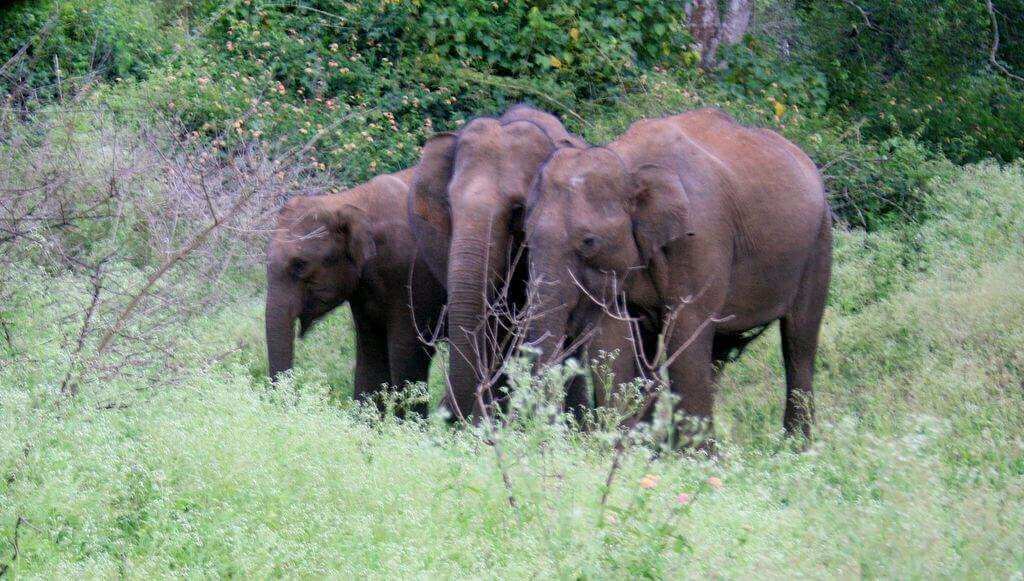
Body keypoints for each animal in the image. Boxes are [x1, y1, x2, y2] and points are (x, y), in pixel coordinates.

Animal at [520, 109, 831, 450]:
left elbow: (687, 328)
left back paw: (796, 450)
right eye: (525, 233)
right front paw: (626, 447)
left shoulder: (701, 236)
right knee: (717, 352)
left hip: (818, 242)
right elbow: (613, 338)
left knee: (799, 340)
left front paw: (694, 458)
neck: (627, 164)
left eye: (589, 242)